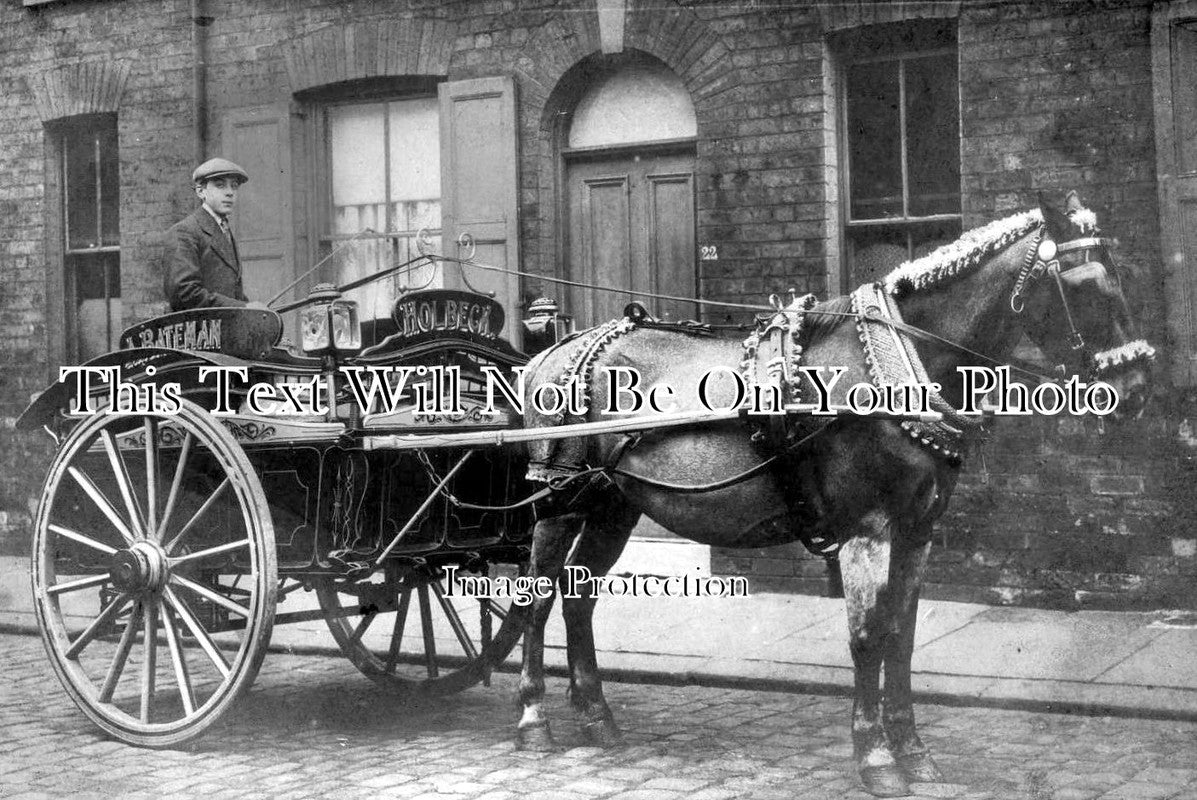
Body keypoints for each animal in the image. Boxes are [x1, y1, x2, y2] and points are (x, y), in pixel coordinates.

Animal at [509, 191, 1153, 795]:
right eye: (1087, 287)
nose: (1137, 386)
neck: (897, 365)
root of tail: (554, 349)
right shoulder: (865, 528)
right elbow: (868, 637)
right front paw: (876, 758)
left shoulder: (918, 528)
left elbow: (902, 636)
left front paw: (914, 752)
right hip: (558, 501)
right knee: (535, 599)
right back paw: (533, 718)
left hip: (613, 505)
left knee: (578, 598)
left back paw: (596, 717)